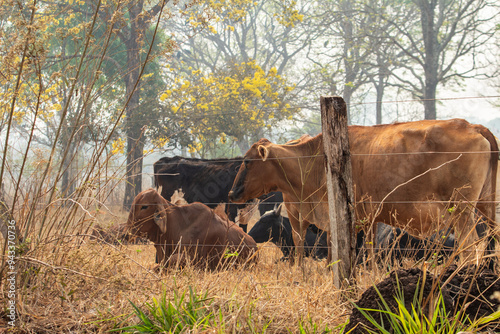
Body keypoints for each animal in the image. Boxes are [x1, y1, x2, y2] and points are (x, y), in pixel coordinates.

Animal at [229, 118, 498, 264]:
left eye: (248, 161)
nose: (232, 194)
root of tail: (471, 126)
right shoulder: (367, 219)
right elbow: (366, 254)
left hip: (461, 212)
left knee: (470, 248)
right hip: (486, 207)